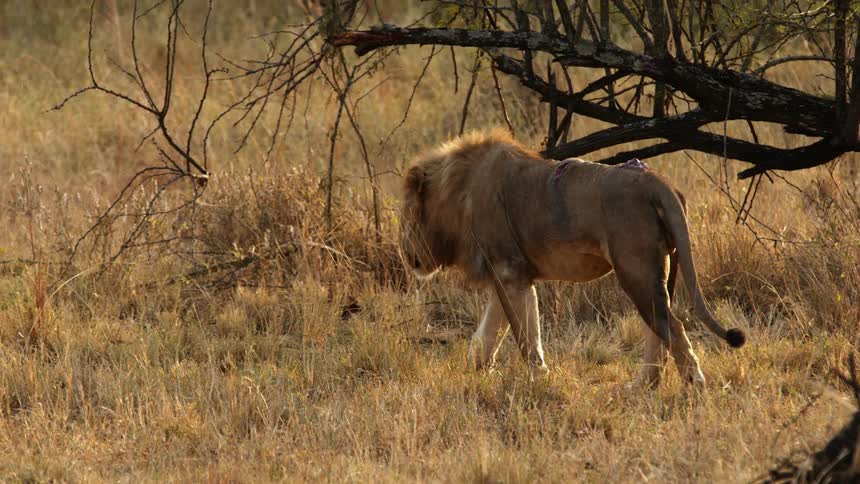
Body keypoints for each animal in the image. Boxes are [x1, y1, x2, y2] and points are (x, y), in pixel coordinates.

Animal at [399, 129, 746, 388]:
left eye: (406, 216)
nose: (404, 252)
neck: (457, 194)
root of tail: (658, 182)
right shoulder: (509, 273)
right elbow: (491, 330)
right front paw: (479, 368)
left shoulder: (510, 272)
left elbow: (525, 336)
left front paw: (537, 379)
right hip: (662, 270)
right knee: (658, 329)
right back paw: (642, 385)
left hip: (636, 270)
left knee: (672, 326)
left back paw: (695, 386)